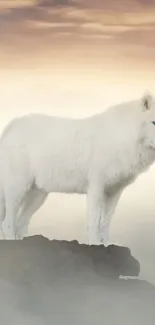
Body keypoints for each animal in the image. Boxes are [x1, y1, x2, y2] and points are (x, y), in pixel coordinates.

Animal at [0, 92, 155, 243]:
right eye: (153, 122)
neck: (124, 137)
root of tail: (11, 125)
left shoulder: (115, 192)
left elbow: (105, 223)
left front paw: (106, 244)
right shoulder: (96, 189)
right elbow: (94, 223)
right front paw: (95, 244)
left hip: (38, 196)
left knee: (20, 224)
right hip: (18, 190)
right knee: (7, 224)